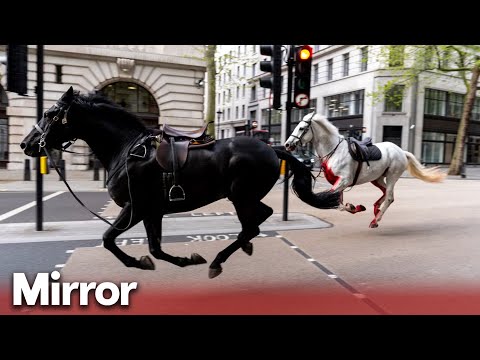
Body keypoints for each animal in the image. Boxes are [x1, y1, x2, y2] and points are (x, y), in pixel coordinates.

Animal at [20, 87, 340, 278]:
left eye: (49, 113)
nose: (26, 144)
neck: (126, 149)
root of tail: (272, 148)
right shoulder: (152, 211)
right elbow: (154, 248)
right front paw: (181, 260)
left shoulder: (135, 207)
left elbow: (109, 239)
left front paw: (138, 262)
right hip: (244, 196)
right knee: (259, 219)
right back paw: (242, 247)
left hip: (240, 196)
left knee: (253, 224)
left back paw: (218, 260)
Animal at [284, 112, 446, 228]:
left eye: (302, 128)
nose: (287, 144)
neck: (334, 151)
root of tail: (401, 151)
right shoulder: (338, 183)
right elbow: (338, 202)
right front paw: (354, 207)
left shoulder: (344, 180)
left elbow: (332, 202)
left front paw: (354, 207)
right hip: (377, 178)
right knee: (385, 193)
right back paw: (376, 211)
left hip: (392, 176)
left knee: (389, 197)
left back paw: (376, 220)